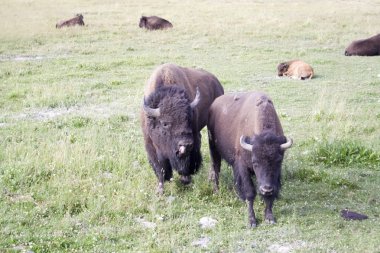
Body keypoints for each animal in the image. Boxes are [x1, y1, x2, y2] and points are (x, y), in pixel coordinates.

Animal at [142, 63, 226, 194]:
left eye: (188, 119)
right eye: (165, 123)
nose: (185, 144)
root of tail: (216, 83)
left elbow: (187, 163)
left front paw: (185, 180)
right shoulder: (150, 145)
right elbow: (159, 168)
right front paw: (160, 190)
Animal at [208, 91, 294, 227]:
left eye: (278, 161)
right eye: (255, 162)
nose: (266, 189)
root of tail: (215, 103)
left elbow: (271, 195)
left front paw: (269, 217)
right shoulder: (243, 167)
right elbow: (249, 192)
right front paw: (252, 220)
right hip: (214, 149)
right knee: (215, 169)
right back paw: (217, 191)